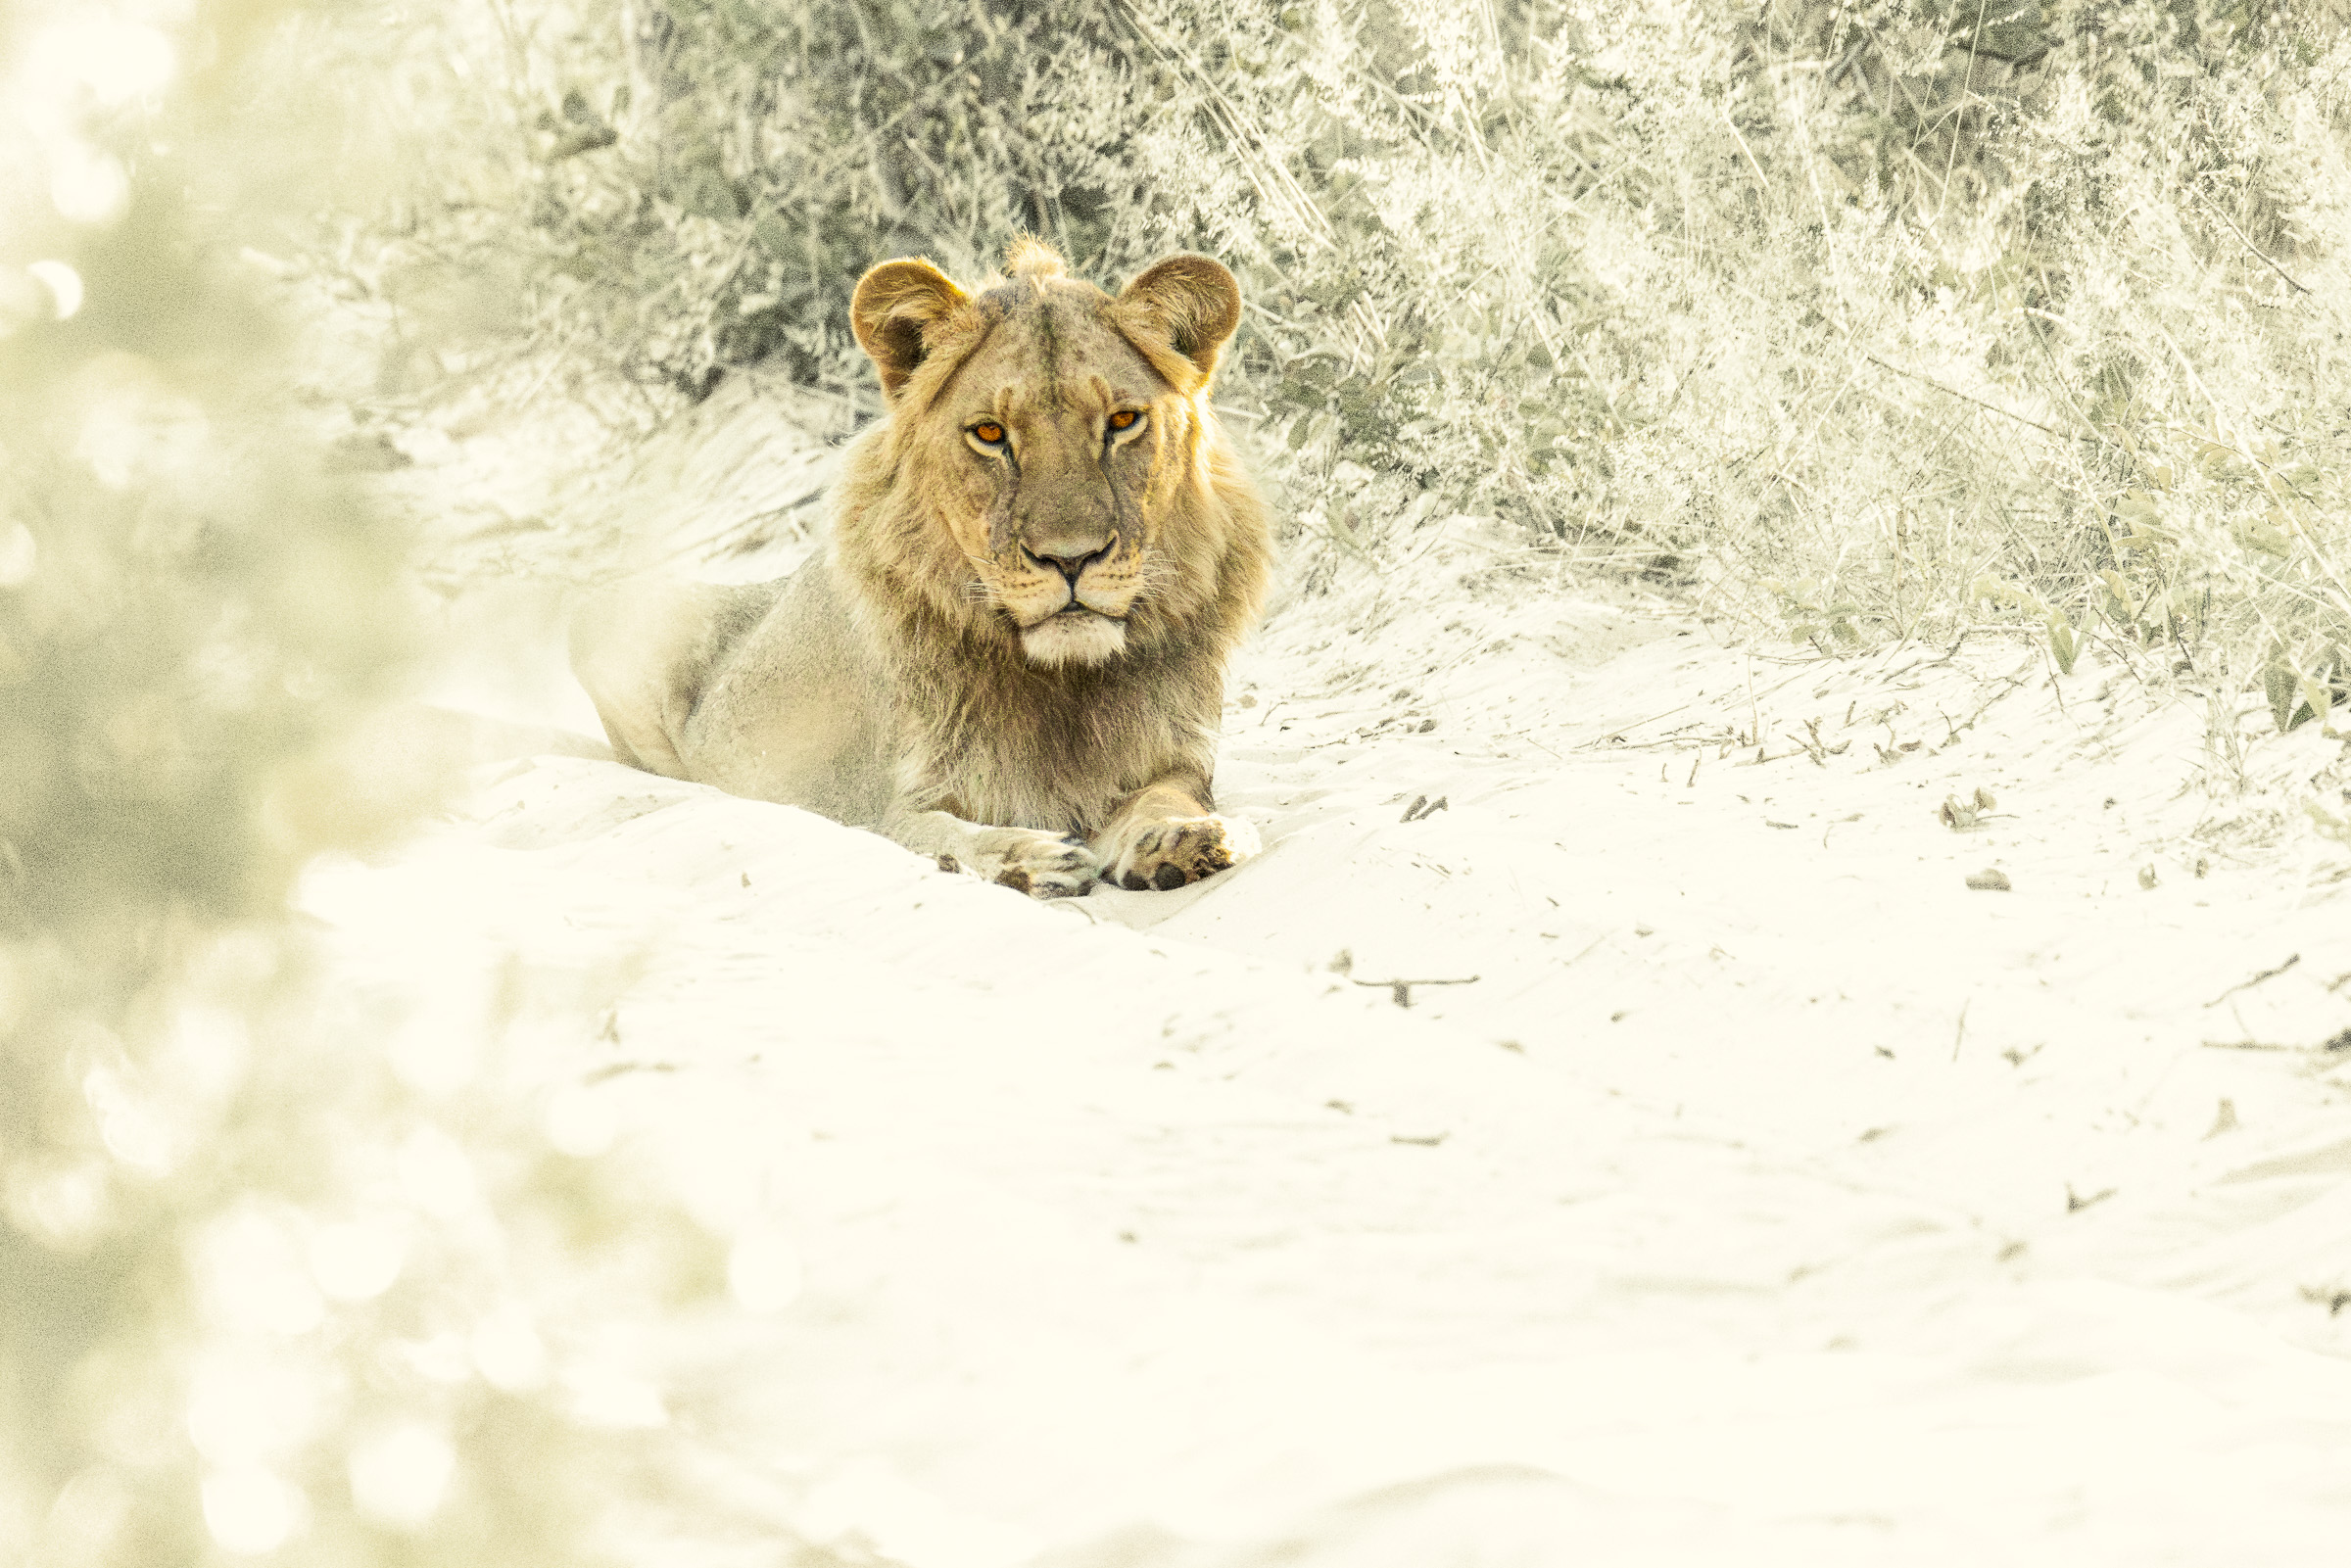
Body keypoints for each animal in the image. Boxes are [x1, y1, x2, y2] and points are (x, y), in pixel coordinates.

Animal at [570, 240, 1274, 898]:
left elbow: (1168, 795)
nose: (1070, 557)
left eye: (1124, 421)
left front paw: (1181, 838)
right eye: (990, 434)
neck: (1060, 683)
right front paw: (1031, 857)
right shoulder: (884, 806)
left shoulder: (1174, 757)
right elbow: (938, 832)